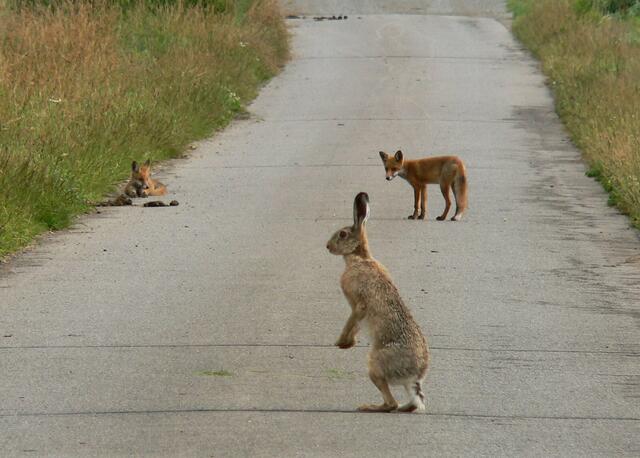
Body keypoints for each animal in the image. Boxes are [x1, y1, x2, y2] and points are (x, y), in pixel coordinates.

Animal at [326, 192, 429, 412]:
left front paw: (341, 343)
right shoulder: (356, 309)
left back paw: (368, 406)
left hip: (375, 364)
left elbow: (351, 322)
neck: (360, 258)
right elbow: (355, 325)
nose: (327, 246)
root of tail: (415, 375)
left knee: (390, 403)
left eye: (342, 234)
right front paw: (348, 343)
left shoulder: (358, 304)